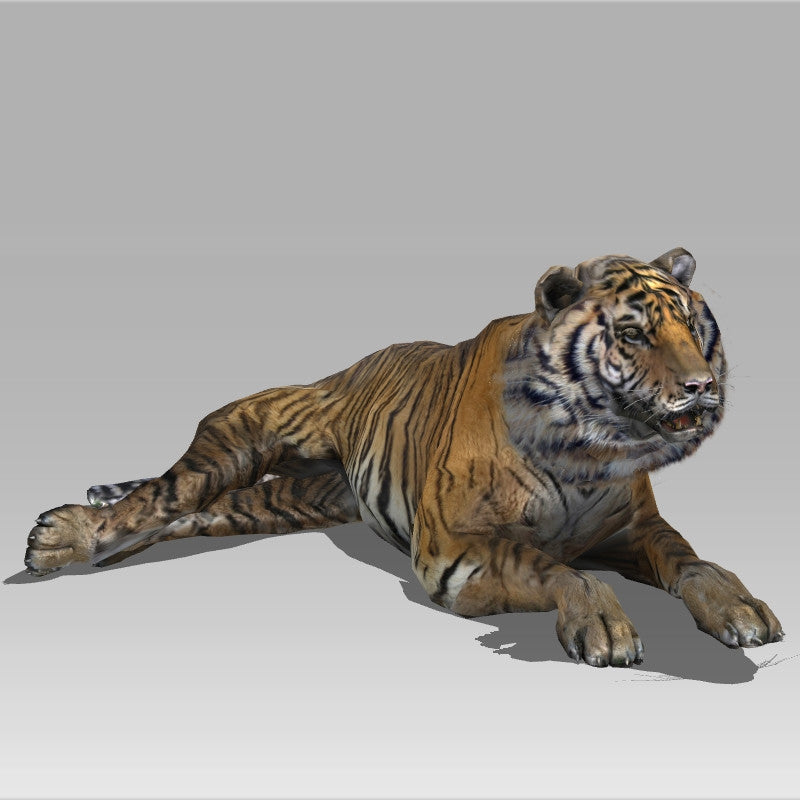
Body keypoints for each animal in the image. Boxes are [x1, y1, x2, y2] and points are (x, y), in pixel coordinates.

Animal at [25, 247, 784, 668]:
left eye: (691, 326)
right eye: (632, 333)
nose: (703, 388)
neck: (590, 450)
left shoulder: (637, 528)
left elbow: (693, 560)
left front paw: (741, 607)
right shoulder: (458, 551)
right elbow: (555, 567)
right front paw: (602, 626)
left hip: (277, 500)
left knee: (199, 510)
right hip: (246, 428)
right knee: (165, 494)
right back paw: (62, 535)